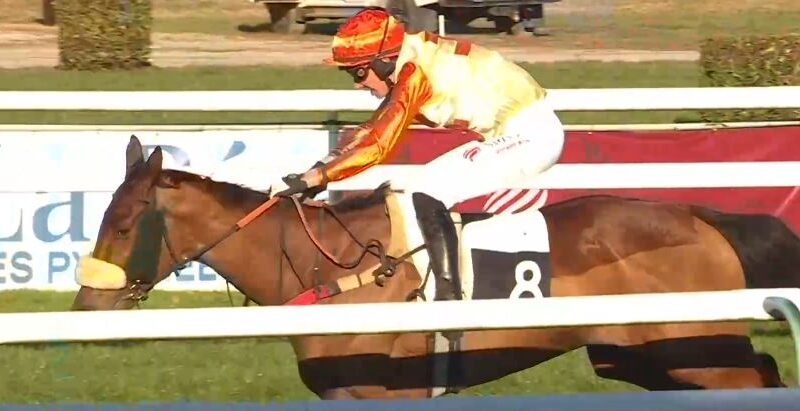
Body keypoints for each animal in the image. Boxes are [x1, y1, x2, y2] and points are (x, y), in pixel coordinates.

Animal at [72, 136, 796, 400]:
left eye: (126, 224)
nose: (83, 308)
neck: (326, 268)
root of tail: (702, 215)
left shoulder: (383, 393)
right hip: (638, 355)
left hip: (698, 351)